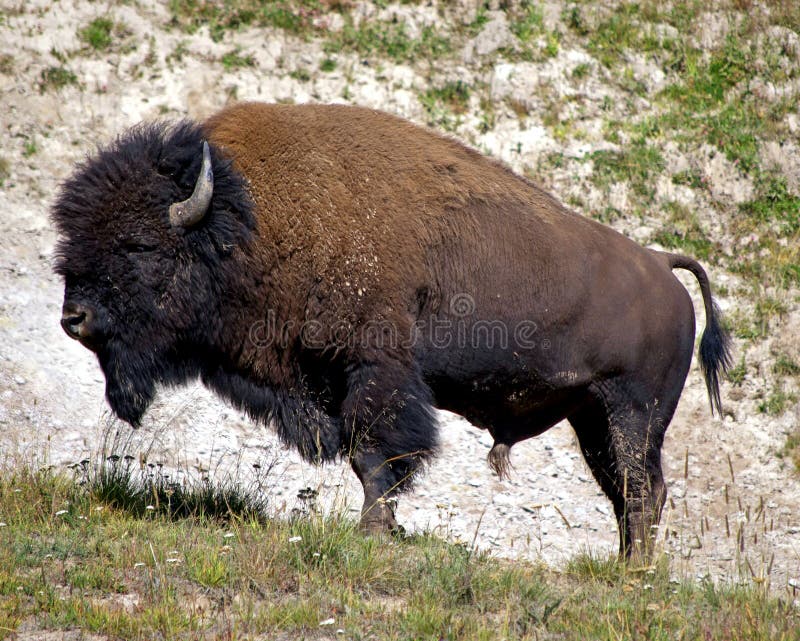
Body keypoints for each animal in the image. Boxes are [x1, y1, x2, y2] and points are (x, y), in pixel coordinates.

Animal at [51, 102, 732, 556]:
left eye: (140, 246)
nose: (73, 318)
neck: (247, 220)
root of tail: (661, 266)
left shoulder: (375, 372)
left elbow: (378, 453)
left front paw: (374, 529)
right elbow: (365, 455)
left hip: (632, 413)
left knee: (642, 490)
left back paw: (636, 572)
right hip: (591, 416)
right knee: (627, 493)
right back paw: (624, 567)